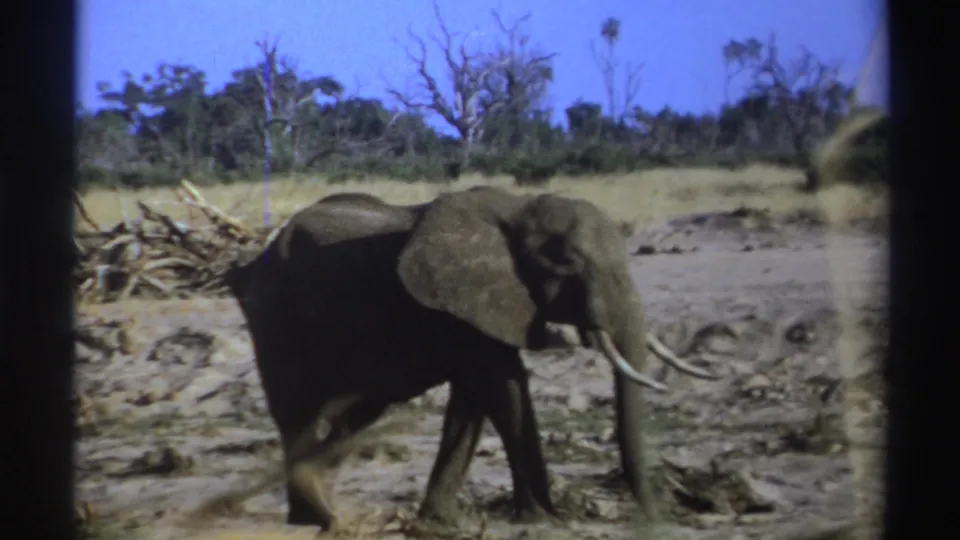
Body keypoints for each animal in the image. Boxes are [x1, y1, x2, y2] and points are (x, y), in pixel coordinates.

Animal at [223, 187, 718, 532]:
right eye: (566, 261)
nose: (658, 518)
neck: (518, 209)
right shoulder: (465, 304)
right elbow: (505, 387)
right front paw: (545, 519)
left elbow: (474, 398)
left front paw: (442, 522)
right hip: (278, 320)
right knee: (299, 415)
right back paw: (321, 518)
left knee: (352, 415)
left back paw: (311, 513)